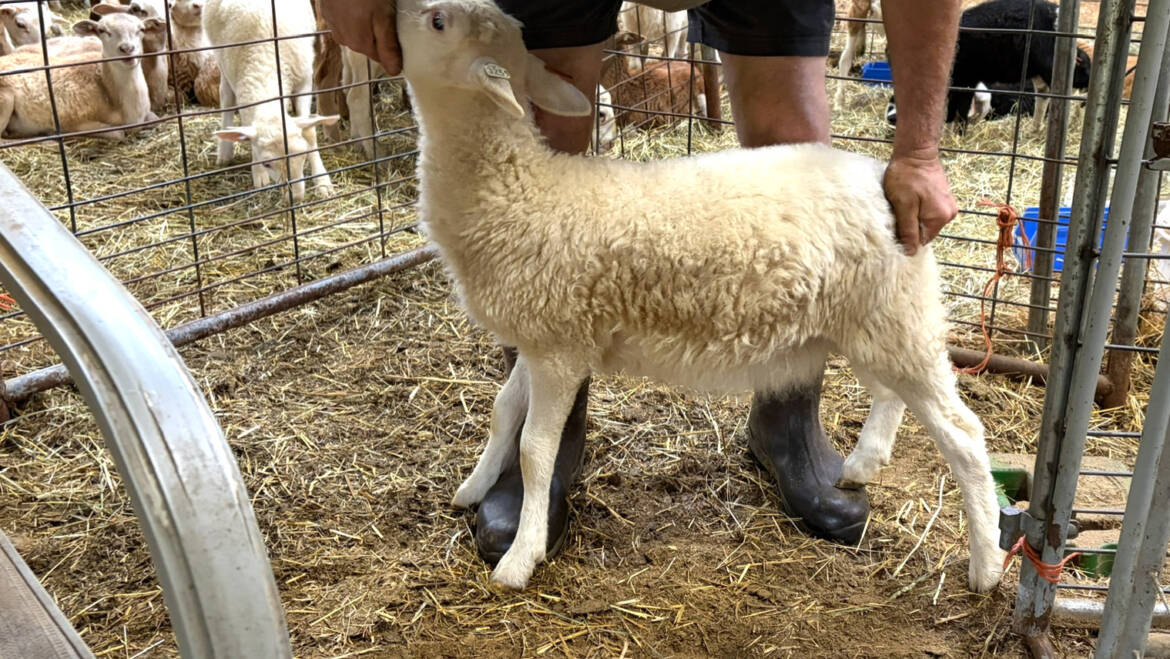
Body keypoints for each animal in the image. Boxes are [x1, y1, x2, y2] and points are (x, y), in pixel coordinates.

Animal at [0, 12, 160, 139]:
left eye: (141, 29)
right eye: (101, 30)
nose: (127, 48)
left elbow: (156, 118)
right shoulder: (72, 122)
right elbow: (118, 134)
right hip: (6, 98)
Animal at [204, 0, 338, 201]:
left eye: (303, 154)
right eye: (267, 164)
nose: (296, 198)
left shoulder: (305, 81)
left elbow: (309, 133)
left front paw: (322, 181)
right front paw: (259, 174)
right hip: (221, 61)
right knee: (226, 98)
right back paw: (225, 153)